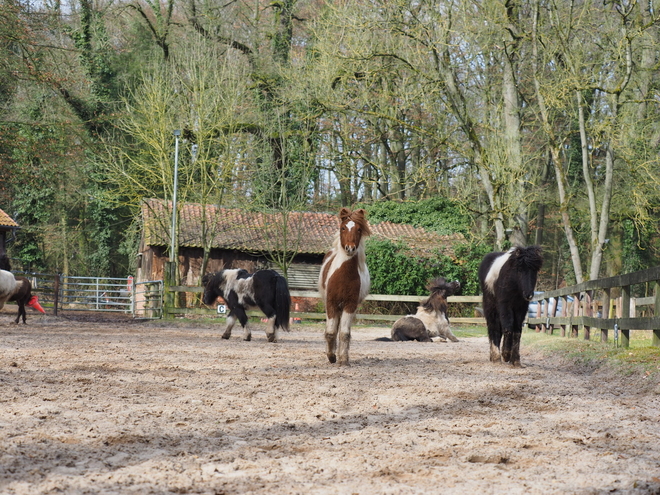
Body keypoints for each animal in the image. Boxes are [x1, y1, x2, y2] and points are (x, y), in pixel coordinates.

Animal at [320, 207, 372, 366]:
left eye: (359, 229)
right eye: (343, 228)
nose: (350, 248)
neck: (344, 276)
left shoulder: (350, 305)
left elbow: (344, 334)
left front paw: (343, 359)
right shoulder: (331, 303)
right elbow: (331, 332)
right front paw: (331, 356)